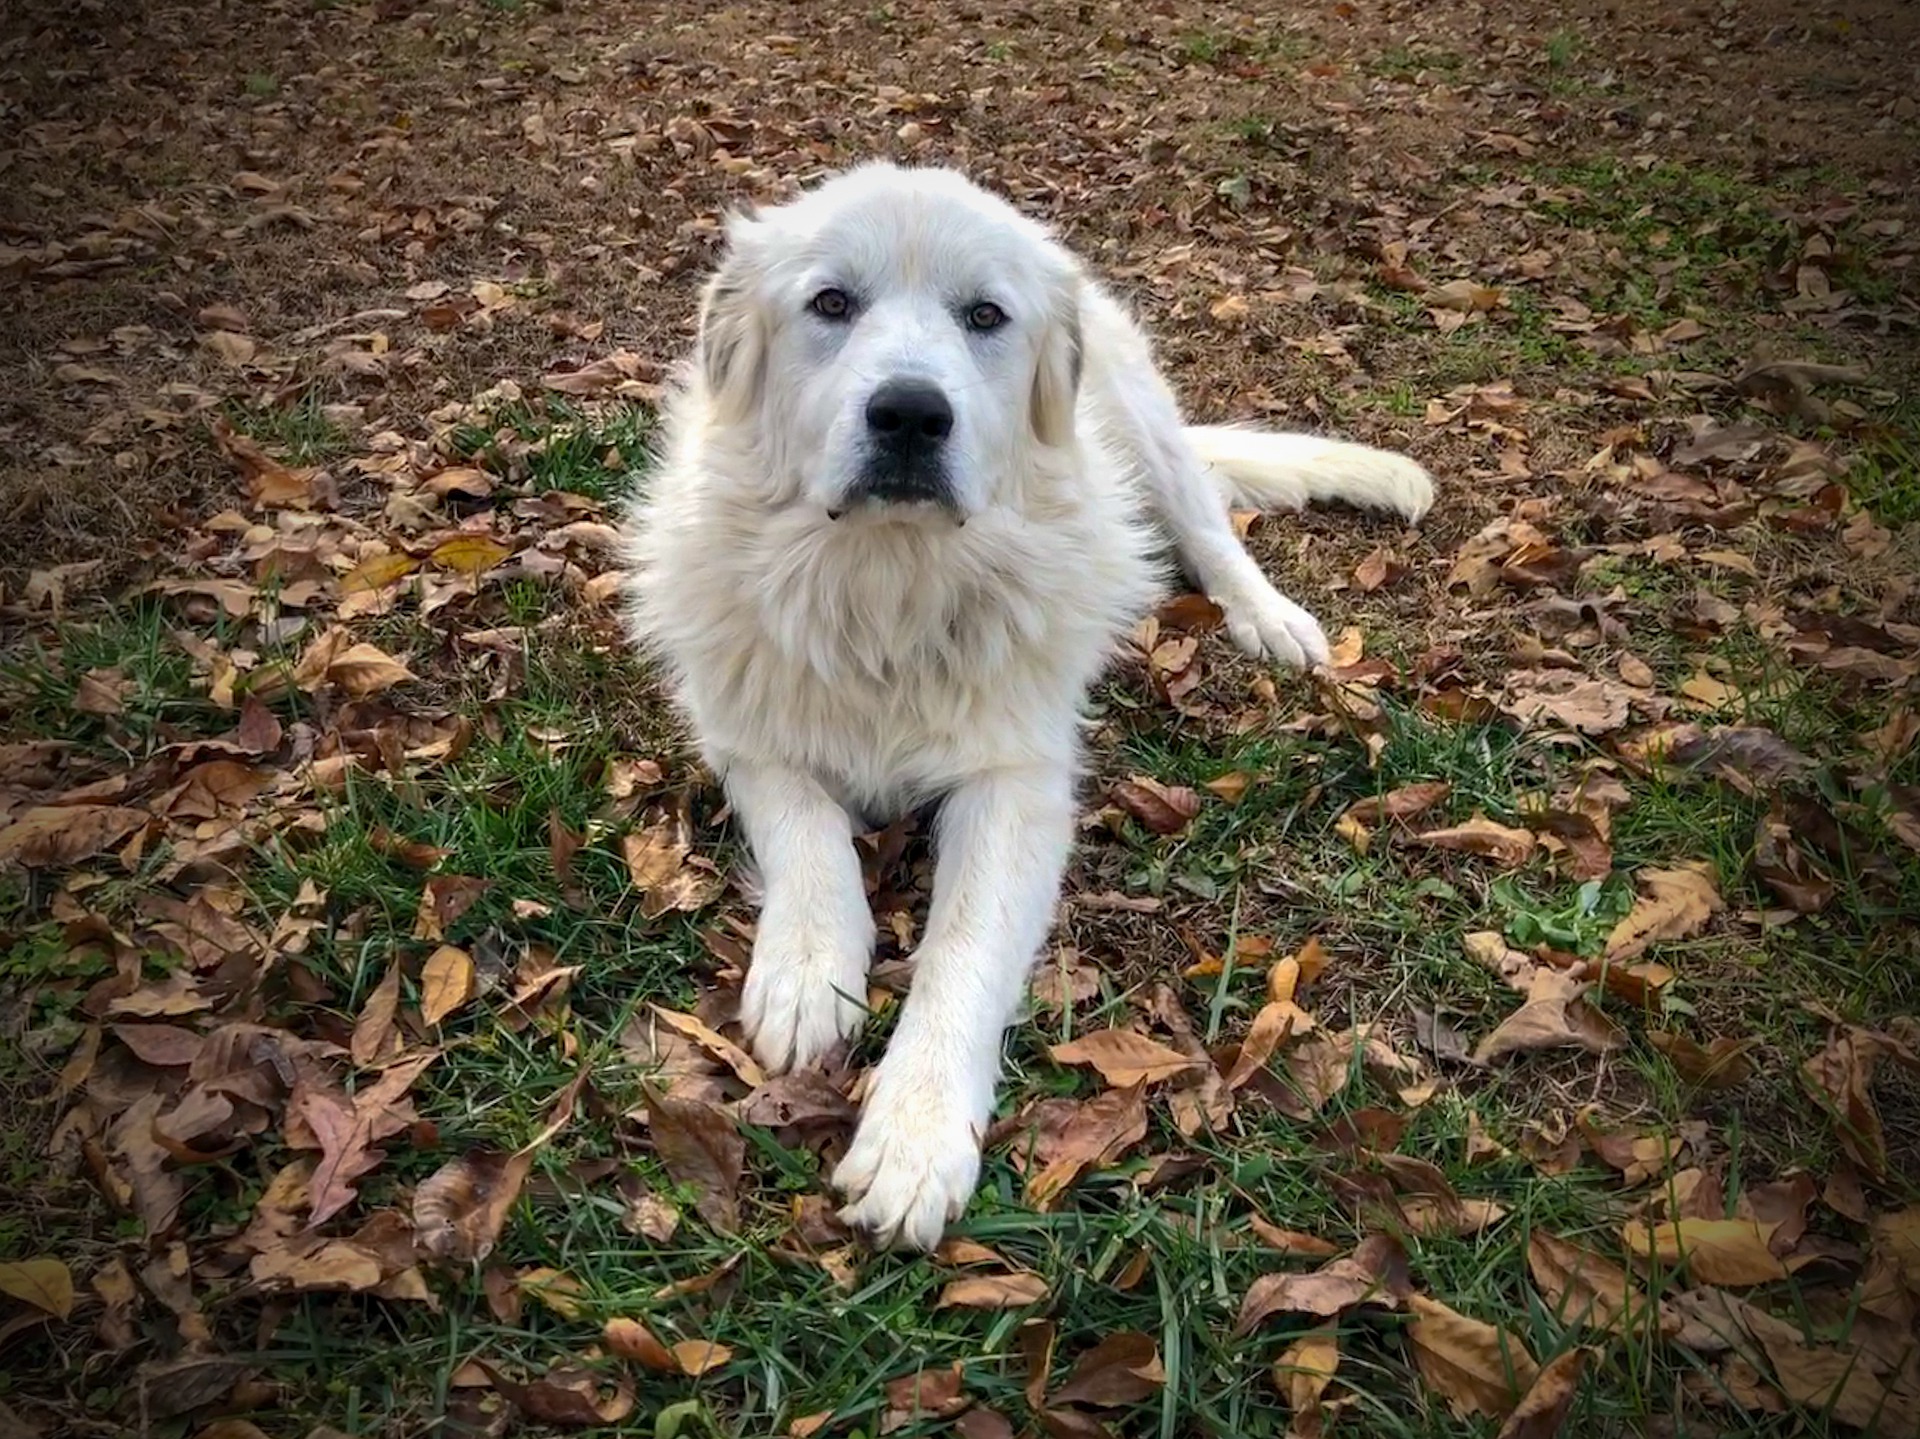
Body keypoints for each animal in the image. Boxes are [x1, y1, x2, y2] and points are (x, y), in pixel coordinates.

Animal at [622, 162, 1436, 1252]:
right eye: (831, 303)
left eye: (984, 316)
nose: (910, 415)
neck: (887, 583)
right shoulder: (745, 729)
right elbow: (806, 831)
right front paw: (805, 968)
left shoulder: (1014, 786)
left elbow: (962, 953)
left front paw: (916, 1134)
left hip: (1145, 430)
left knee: (1210, 532)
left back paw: (1269, 617)